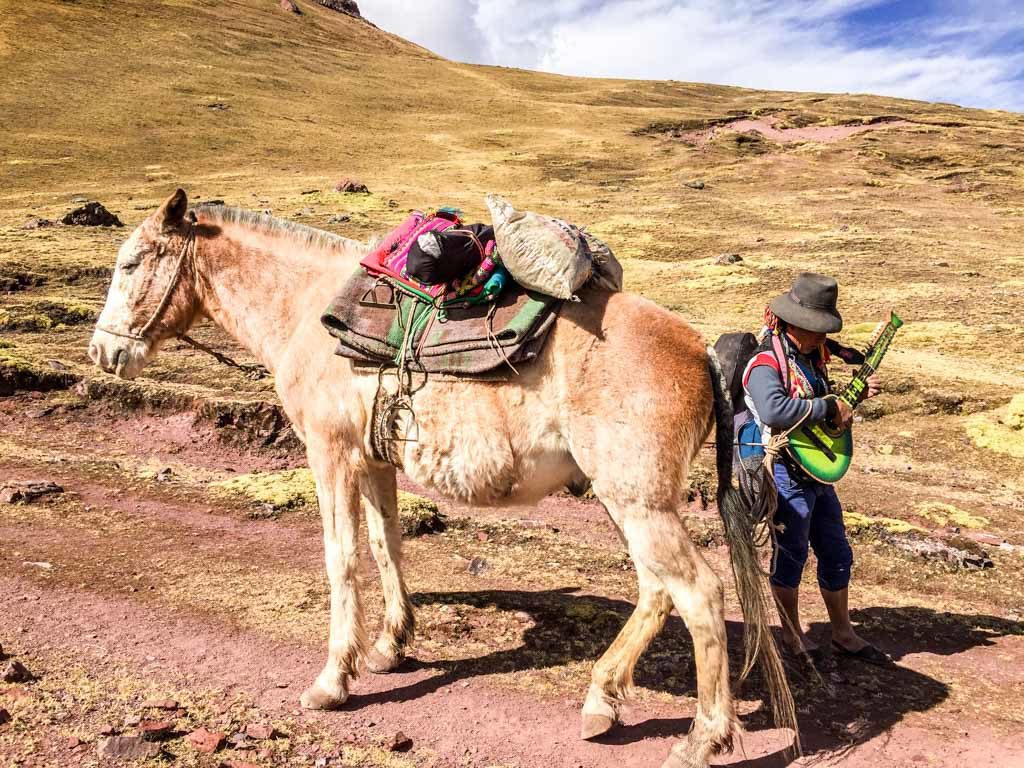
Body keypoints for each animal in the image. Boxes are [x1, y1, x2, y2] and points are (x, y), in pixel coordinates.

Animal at [90, 188, 790, 768]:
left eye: (130, 264)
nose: (103, 352)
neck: (304, 313)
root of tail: (699, 351)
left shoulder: (330, 454)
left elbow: (341, 557)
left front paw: (332, 680)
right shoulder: (373, 460)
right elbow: (386, 544)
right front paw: (390, 646)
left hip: (639, 501)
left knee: (698, 593)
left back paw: (702, 739)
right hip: (629, 501)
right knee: (656, 590)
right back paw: (601, 700)